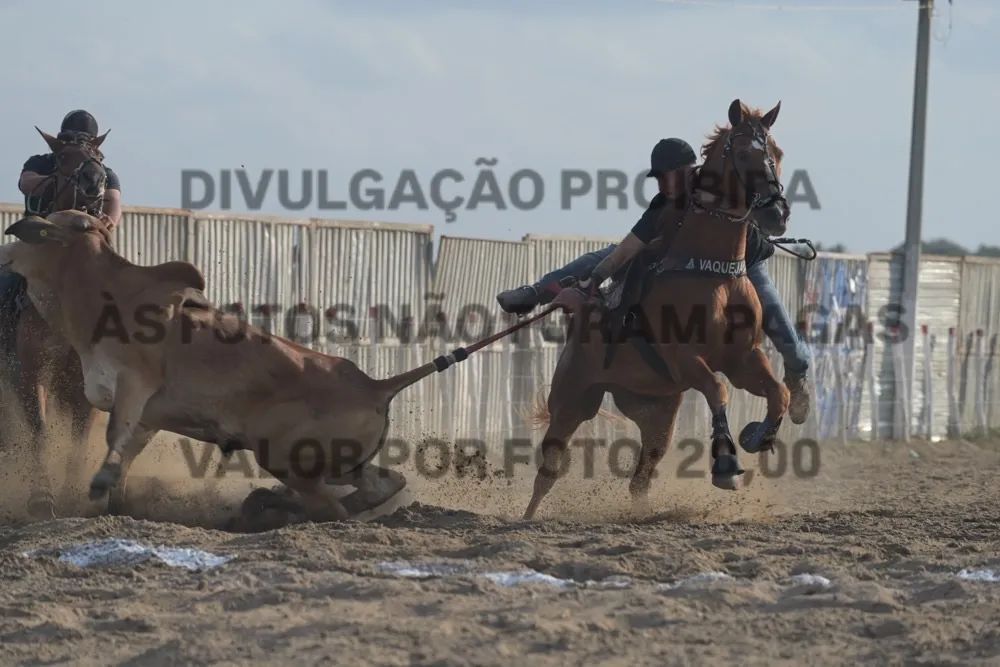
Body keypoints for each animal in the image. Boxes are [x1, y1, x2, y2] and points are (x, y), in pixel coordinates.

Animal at [0, 128, 109, 518]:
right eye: (63, 157)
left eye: (101, 157)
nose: (94, 180)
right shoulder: (31, 372)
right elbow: (40, 430)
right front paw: (41, 498)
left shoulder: (86, 384)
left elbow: (79, 438)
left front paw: (76, 495)